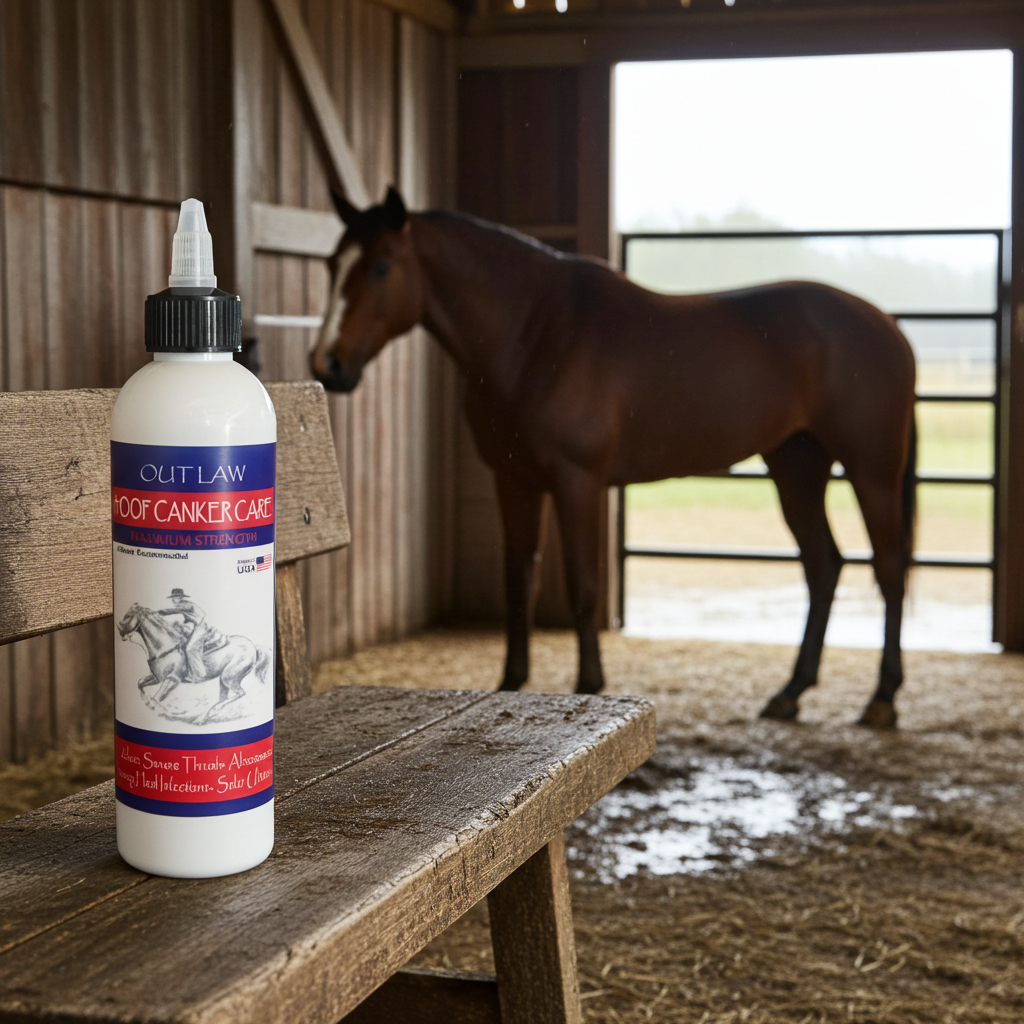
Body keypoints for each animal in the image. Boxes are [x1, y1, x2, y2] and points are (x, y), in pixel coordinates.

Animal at [116, 603, 272, 724]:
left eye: (128, 615)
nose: (120, 630)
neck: (166, 646)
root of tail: (254, 647)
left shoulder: (172, 680)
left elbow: (155, 699)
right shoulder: (156, 677)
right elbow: (140, 685)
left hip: (230, 677)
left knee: (240, 693)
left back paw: (208, 714)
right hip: (223, 680)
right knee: (224, 698)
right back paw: (204, 718)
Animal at [310, 187, 916, 728]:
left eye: (382, 267)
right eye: (332, 265)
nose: (326, 364)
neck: (535, 335)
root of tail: (887, 325)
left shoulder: (577, 481)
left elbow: (582, 588)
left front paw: (589, 687)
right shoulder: (514, 480)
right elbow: (518, 582)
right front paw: (510, 683)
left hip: (870, 470)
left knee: (888, 568)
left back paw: (882, 700)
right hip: (796, 465)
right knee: (824, 565)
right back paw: (791, 693)